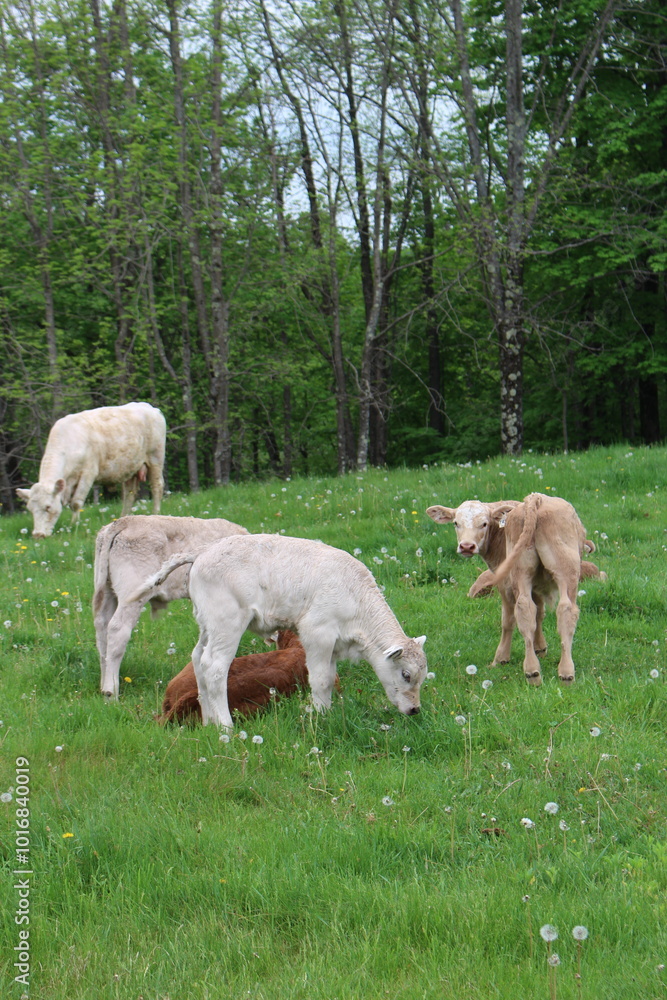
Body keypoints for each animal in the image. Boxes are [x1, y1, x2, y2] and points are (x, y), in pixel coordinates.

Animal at [16, 402, 166, 538]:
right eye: (30, 509)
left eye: (48, 507)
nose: (38, 534)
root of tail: (150, 407)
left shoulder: (88, 473)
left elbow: (76, 503)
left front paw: (74, 525)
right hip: (131, 467)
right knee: (130, 494)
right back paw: (123, 517)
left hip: (155, 458)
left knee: (156, 486)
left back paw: (156, 512)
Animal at [93, 514, 248, 699]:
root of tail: (124, 521)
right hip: (131, 596)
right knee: (117, 630)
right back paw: (111, 692)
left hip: (106, 591)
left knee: (102, 630)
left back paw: (103, 686)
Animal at [426, 493, 605, 685]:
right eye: (456, 523)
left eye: (484, 524)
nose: (467, 546)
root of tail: (536, 499)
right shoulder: (534, 585)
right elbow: (538, 614)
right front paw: (540, 648)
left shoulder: (505, 582)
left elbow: (508, 620)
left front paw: (501, 658)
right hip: (547, 571)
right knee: (548, 609)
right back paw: (546, 671)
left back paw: (549, 672)